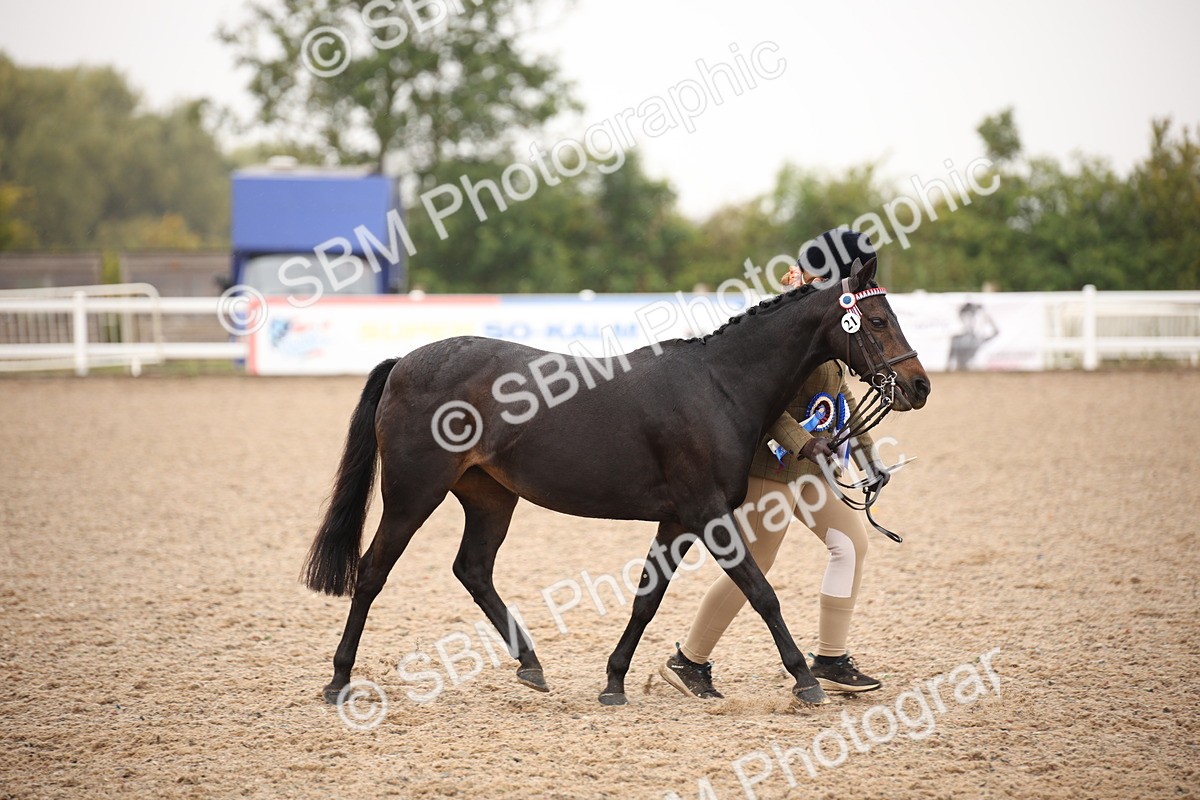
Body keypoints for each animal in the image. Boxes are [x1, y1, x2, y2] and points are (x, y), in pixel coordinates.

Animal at [303, 257, 930, 708]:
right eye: (878, 321)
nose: (919, 386)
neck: (718, 385)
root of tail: (405, 362)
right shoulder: (707, 514)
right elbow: (760, 592)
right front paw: (805, 679)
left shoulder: (678, 519)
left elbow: (647, 599)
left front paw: (614, 682)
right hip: (412, 495)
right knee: (372, 572)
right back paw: (339, 681)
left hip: (489, 497)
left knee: (473, 570)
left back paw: (531, 665)